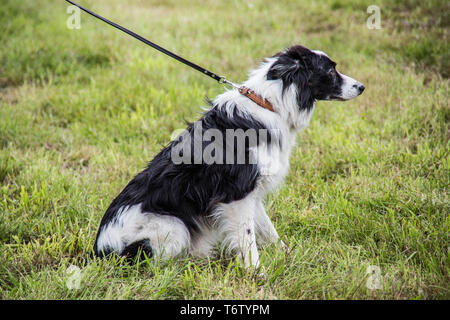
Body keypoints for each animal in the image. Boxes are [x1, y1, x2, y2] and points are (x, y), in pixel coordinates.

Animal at [92, 43, 366, 266]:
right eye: (330, 72)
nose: (362, 87)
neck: (270, 104)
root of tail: (100, 251)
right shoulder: (236, 196)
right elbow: (248, 240)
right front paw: (257, 274)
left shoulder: (252, 192)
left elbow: (268, 229)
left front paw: (287, 255)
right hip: (174, 226)